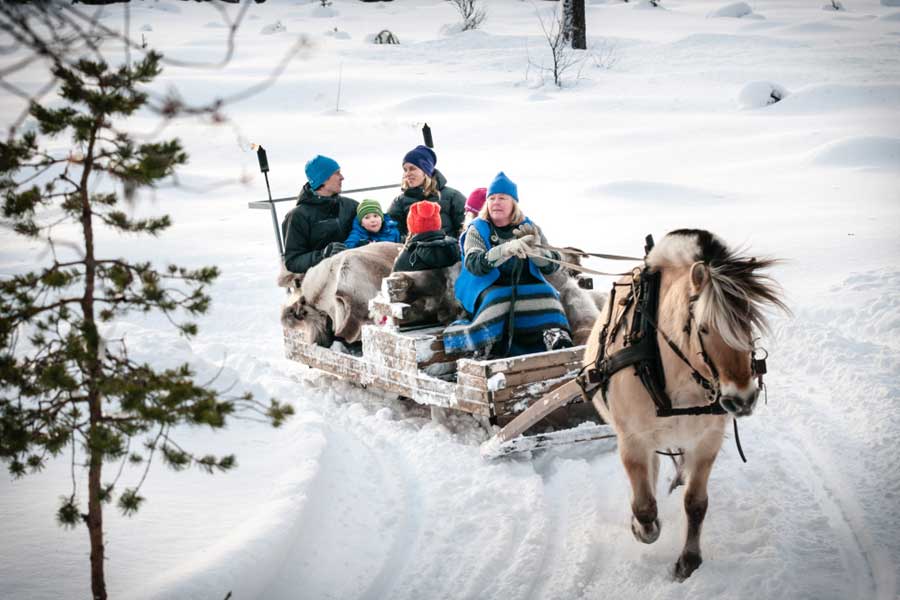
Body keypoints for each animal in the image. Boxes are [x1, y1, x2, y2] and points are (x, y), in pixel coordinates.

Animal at [584, 229, 788, 580]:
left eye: (748, 323)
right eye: (704, 328)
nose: (743, 400)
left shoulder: (707, 440)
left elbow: (696, 503)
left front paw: (689, 559)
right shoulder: (632, 440)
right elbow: (644, 506)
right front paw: (642, 528)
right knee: (650, 476)